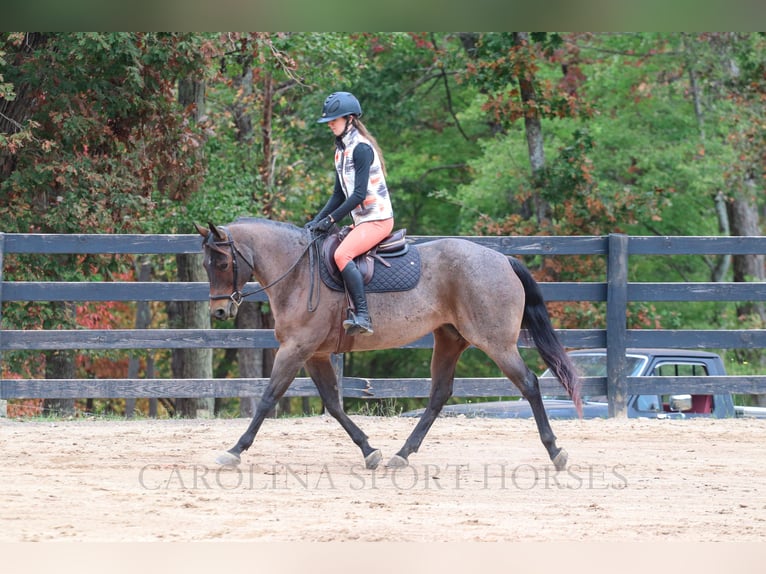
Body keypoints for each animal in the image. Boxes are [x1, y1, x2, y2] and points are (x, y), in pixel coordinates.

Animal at [198, 219, 584, 472]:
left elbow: (267, 398)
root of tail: (502, 259)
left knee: (529, 384)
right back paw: (402, 454)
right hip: (449, 340)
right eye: (206, 264)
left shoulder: (295, 349)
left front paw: (234, 450)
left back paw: (555, 452)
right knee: (439, 395)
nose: (219, 311)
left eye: (222, 262)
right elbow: (333, 404)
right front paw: (369, 450)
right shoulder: (315, 354)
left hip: (496, 343)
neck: (297, 272)